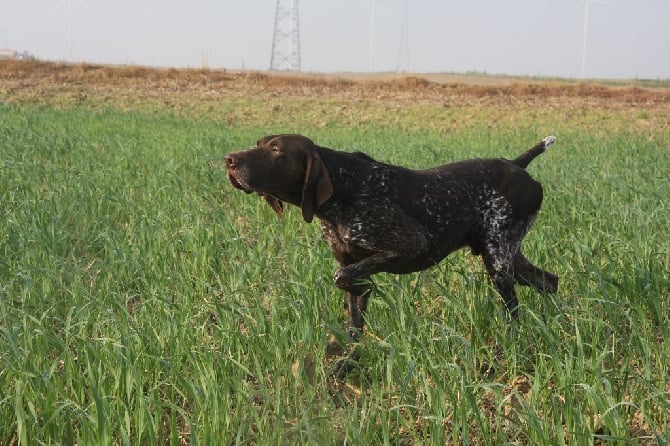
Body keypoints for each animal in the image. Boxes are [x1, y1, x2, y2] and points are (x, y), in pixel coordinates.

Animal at [223, 134, 560, 346]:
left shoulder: (409, 246)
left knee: (514, 309)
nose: (228, 159)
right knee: (550, 281)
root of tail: (516, 164)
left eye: (276, 150)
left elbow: (343, 276)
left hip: (498, 258)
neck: (344, 189)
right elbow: (354, 325)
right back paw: (557, 321)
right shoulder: (356, 261)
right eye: (258, 144)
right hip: (505, 254)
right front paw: (344, 367)